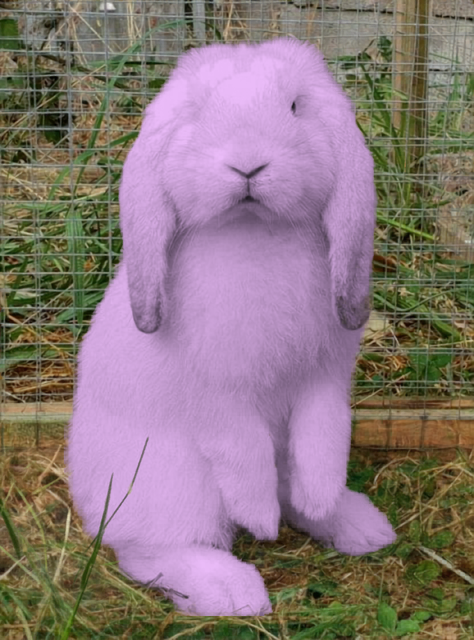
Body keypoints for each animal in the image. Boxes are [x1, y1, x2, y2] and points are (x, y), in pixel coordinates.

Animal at [66, 36, 397, 617]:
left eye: (295, 106)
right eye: (198, 112)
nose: (248, 164)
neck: (255, 231)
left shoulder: (325, 380)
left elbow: (324, 441)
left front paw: (320, 496)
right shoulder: (217, 397)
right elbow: (242, 453)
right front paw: (259, 522)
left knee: (296, 490)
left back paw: (355, 524)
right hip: (171, 486)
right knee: (150, 550)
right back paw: (234, 590)